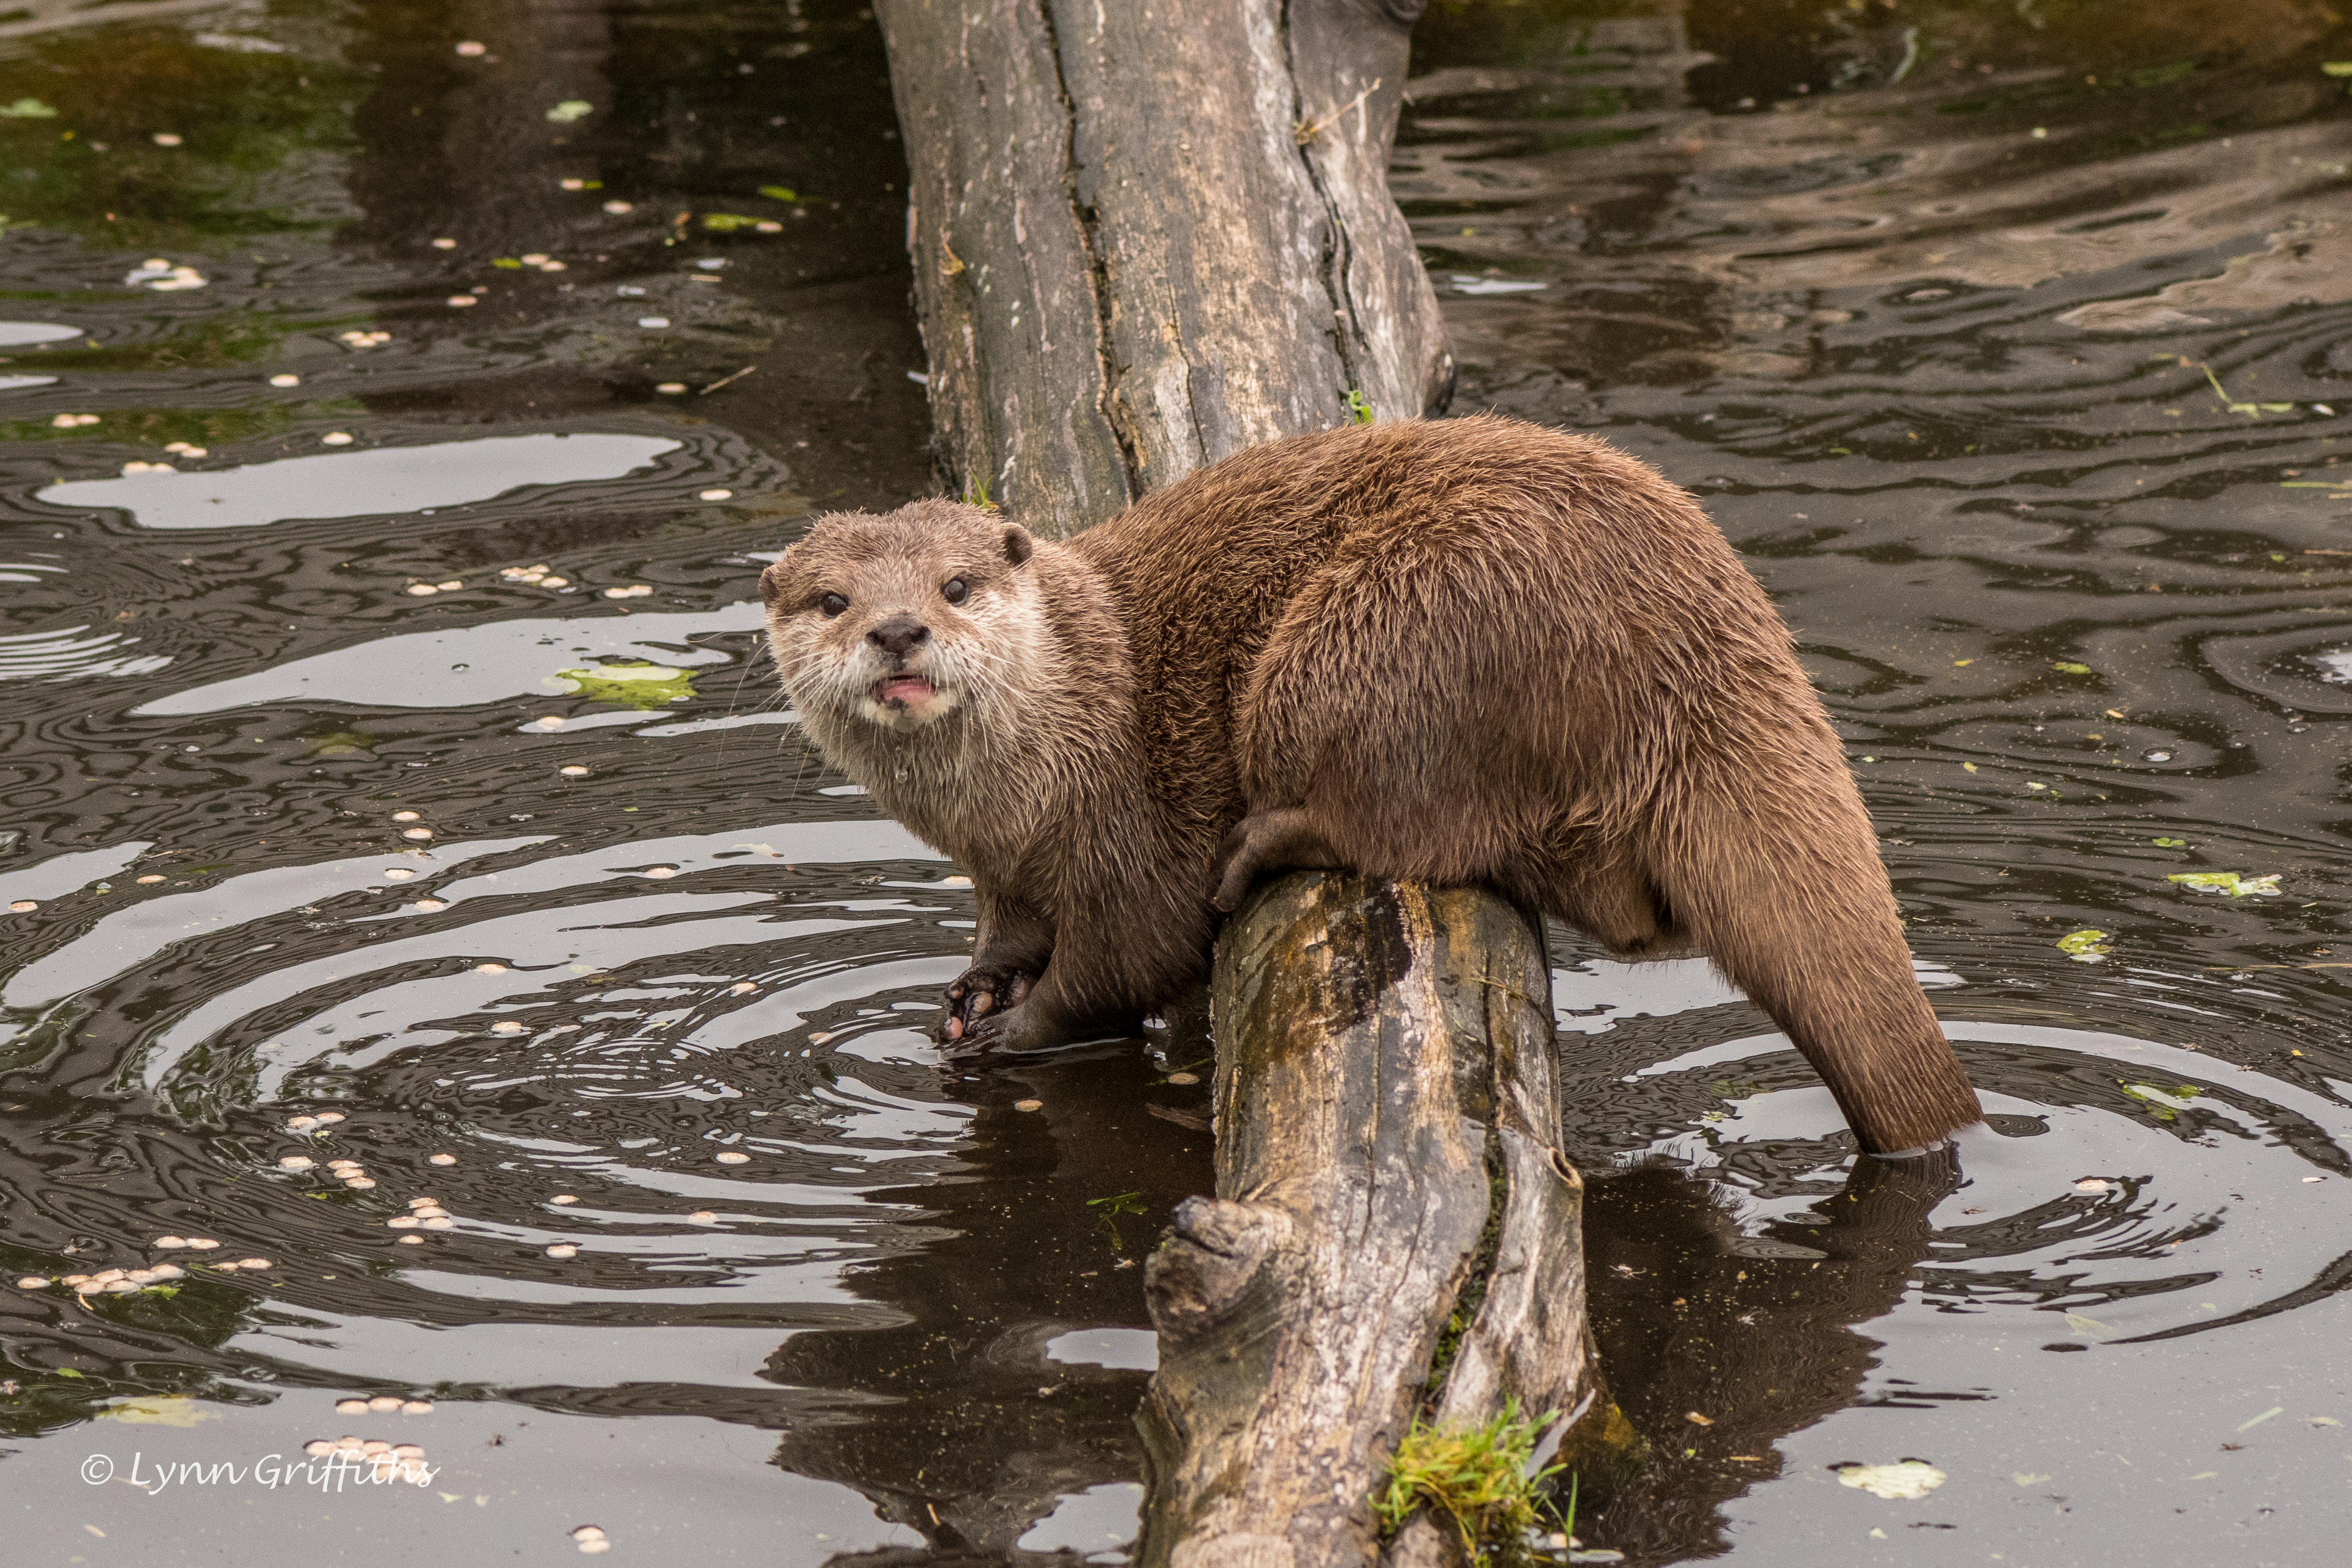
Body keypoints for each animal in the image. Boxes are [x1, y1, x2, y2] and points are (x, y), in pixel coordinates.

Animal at [767, 413, 1984, 1152]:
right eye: (831, 599)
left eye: (955, 583)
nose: (896, 628)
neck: (1036, 773)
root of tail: (1698, 634)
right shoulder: (1005, 867)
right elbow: (1010, 927)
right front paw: (973, 989)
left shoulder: (1123, 821)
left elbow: (1128, 953)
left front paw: (1014, 1030)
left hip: (1379, 632)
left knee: (1415, 825)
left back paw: (1263, 846)